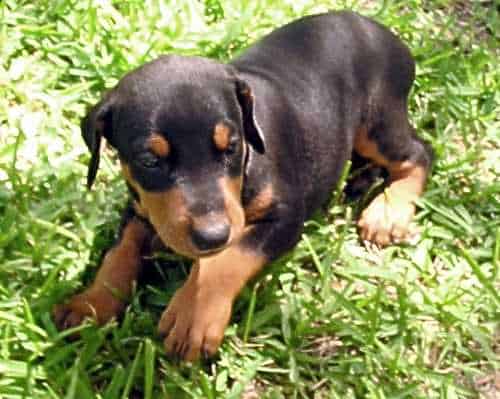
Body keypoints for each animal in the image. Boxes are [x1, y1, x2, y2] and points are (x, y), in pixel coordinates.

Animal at [52, 10, 432, 362]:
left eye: (232, 147)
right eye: (149, 160)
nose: (211, 235)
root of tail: (384, 33)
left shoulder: (285, 216)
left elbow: (233, 254)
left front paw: (194, 314)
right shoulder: (140, 206)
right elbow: (119, 252)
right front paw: (89, 304)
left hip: (378, 120)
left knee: (419, 152)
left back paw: (387, 213)